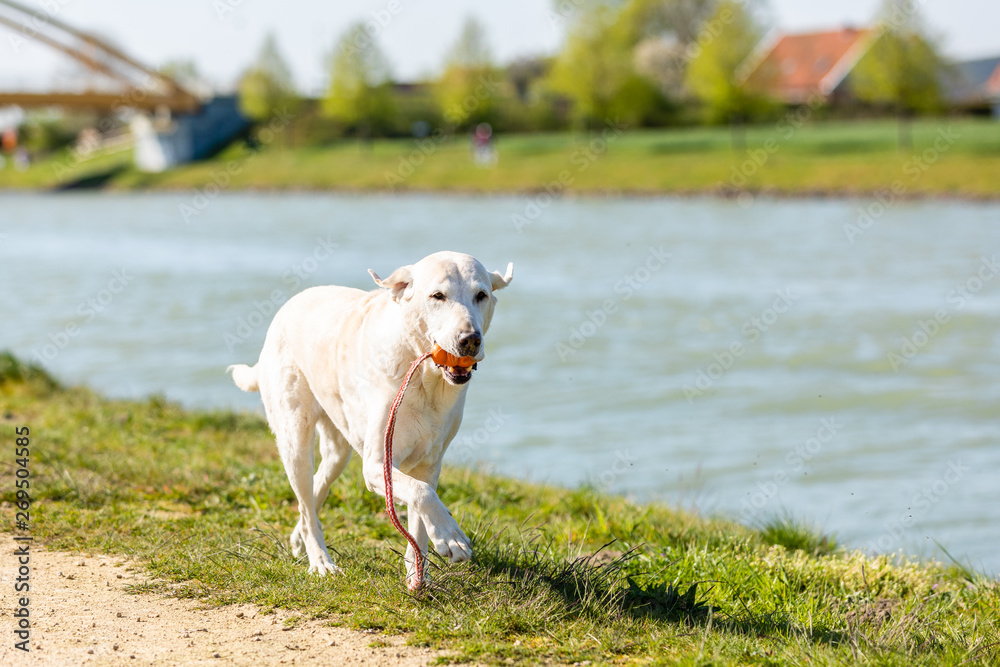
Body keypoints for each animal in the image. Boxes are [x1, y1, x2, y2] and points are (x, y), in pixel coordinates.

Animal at [229, 250, 512, 584]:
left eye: (481, 295)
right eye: (438, 296)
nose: (470, 339)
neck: (425, 381)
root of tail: (287, 307)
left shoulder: (429, 464)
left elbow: (419, 516)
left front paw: (418, 576)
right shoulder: (377, 466)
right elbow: (423, 494)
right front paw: (450, 538)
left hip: (337, 450)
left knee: (314, 492)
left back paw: (300, 538)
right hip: (295, 439)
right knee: (307, 502)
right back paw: (321, 562)